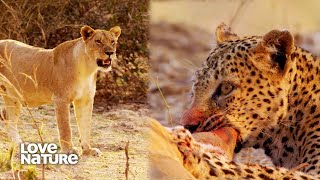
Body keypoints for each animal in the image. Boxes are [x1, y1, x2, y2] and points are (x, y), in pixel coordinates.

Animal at [0, 25, 121, 156]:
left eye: (112, 42)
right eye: (98, 41)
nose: (110, 53)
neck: (87, 69)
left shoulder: (85, 100)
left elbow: (85, 126)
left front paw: (88, 149)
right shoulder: (61, 99)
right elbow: (65, 127)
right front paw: (69, 150)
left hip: (13, 97)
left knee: (8, 117)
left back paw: (19, 144)